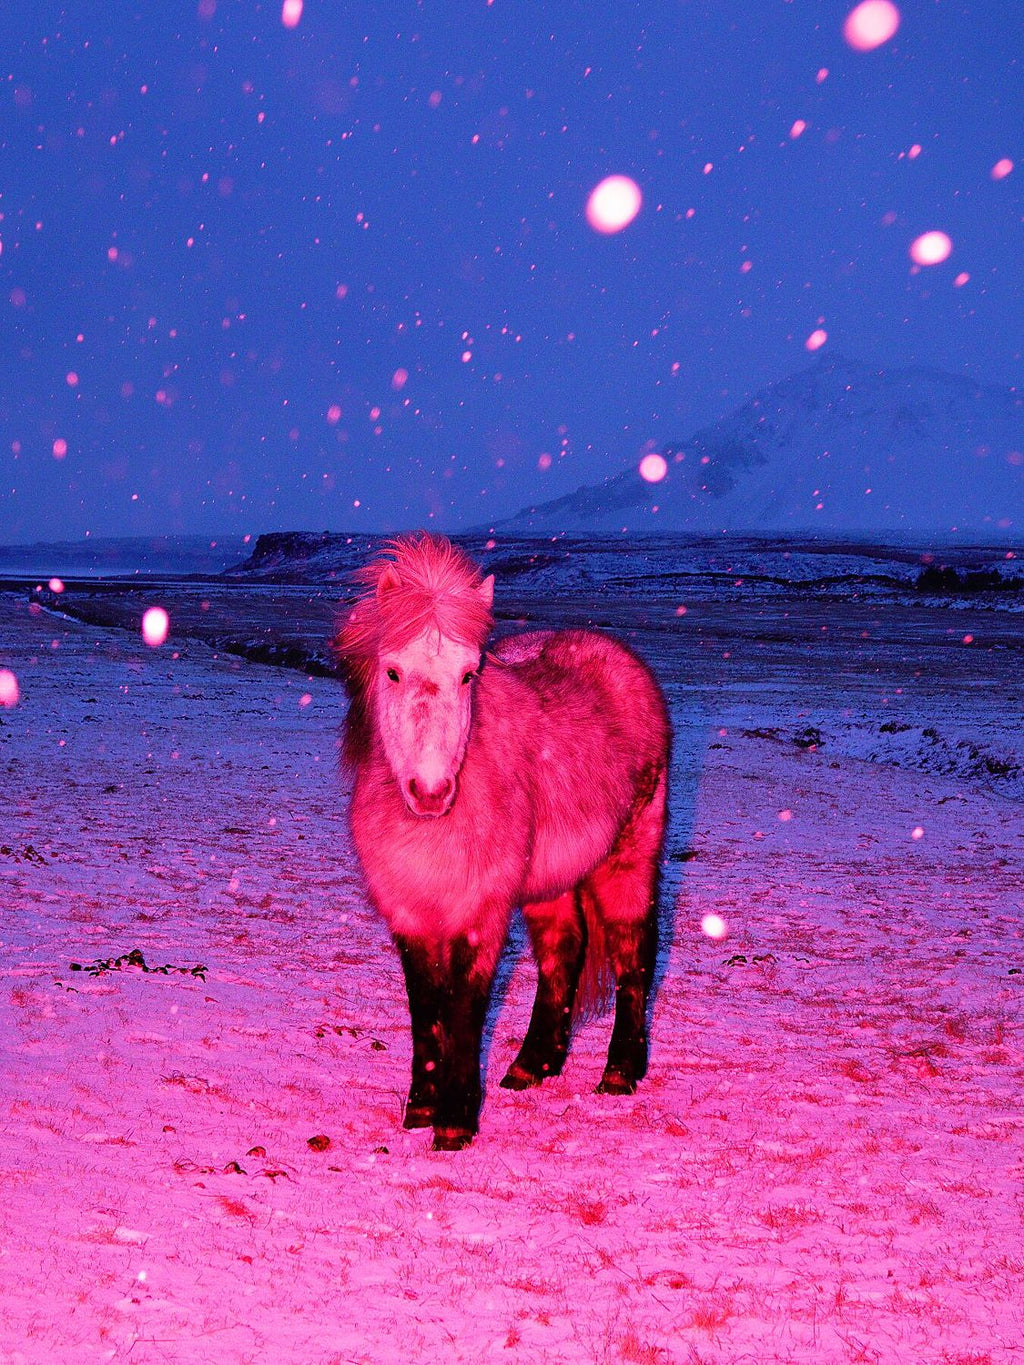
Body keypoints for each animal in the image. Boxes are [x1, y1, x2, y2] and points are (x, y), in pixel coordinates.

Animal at [334, 533, 670, 1150]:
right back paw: (531, 1066)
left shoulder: (479, 913)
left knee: (633, 951)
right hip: (549, 882)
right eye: (392, 672)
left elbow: (464, 1007)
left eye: (470, 674)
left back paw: (618, 1074)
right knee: (564, 950)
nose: (431, 792)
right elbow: (426, 1008)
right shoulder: (409, 914)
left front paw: (454, 1124)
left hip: (628, 857)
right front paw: (420, 1109)